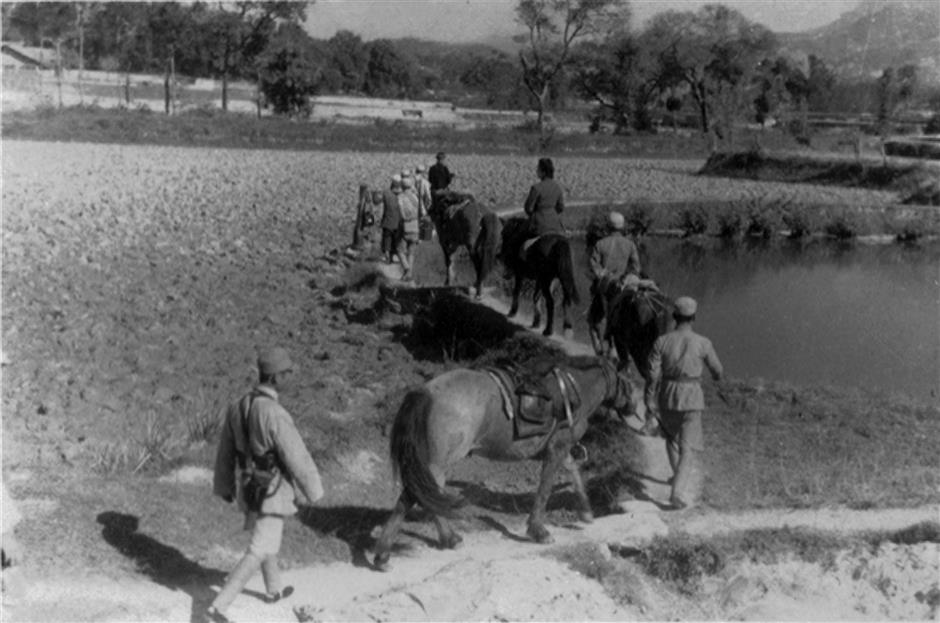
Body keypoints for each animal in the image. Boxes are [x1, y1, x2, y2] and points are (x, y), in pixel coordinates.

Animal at [370, 356, 636, 572]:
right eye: (629, 383)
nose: (634, 407)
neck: (575, 390)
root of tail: (427, 391)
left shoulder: (561, 449)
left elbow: (574, 474)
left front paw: (586, 513)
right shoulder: (556, 450)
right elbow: (545, 489)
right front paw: (538, 531)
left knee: (420, 496)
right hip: (438, 463)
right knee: (415, 496)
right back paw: (399, 551)